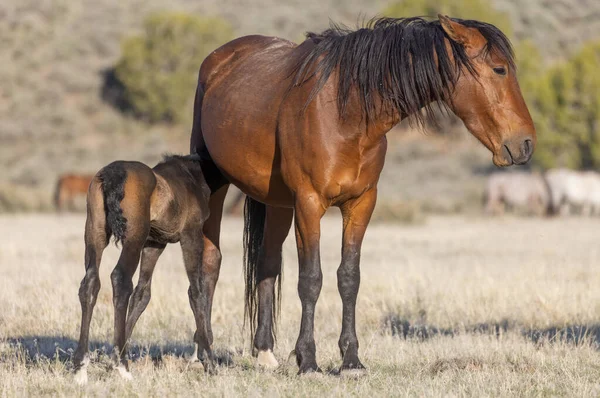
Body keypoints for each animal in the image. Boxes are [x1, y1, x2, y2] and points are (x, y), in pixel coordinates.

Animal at [73, 154, 211, 384]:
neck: (192, 176)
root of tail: (114, 172)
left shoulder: (154, 244)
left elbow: (142, 294)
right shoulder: (191, 236)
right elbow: (197, 291)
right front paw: (209, 359)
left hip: (95, 231)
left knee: (90, 283)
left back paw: (81, 368)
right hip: (133, 237)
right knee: (120, 279)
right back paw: (123, 367)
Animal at [189, 15, 536, 374]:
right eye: (499, 69)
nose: (525, 143)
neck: (346, 113)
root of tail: (219, 58)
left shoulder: (361, 204)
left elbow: (349, 277)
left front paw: (351, 360)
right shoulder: (309, 204)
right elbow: (311, 279)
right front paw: (308, 360)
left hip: (278, 203)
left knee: (267, 264)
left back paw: (265, 353)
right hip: (215, 185)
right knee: (208, 265)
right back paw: (204, 353)